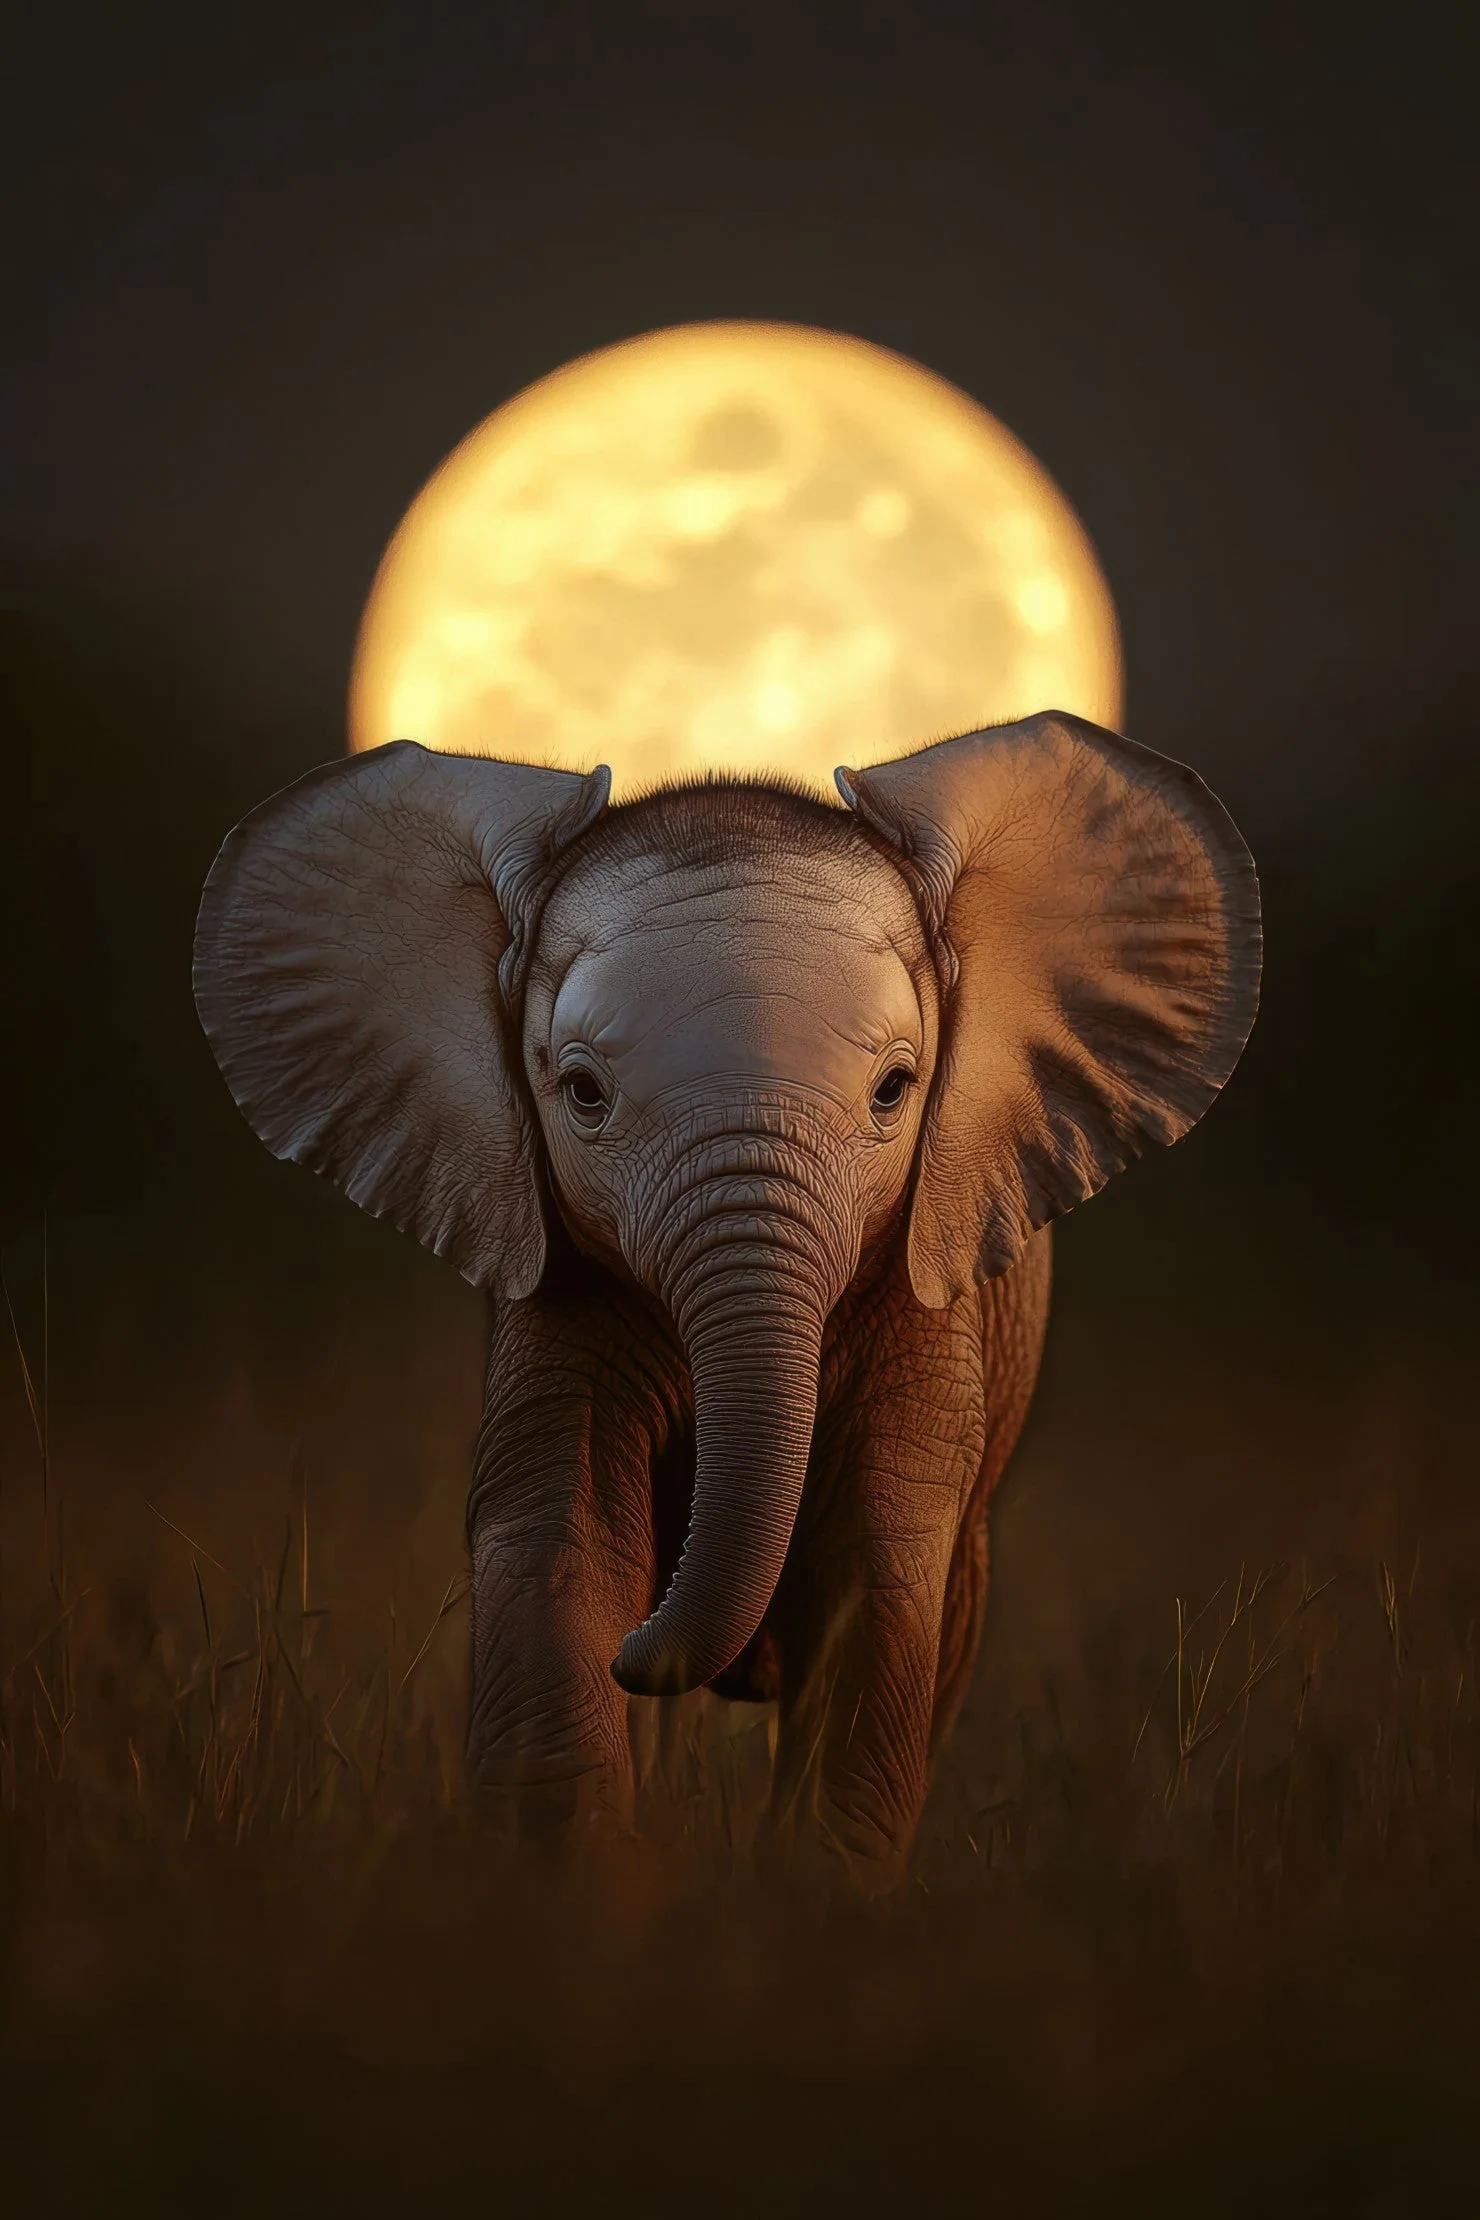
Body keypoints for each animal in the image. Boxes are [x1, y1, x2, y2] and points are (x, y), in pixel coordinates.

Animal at [193, 711, 1260, 1882]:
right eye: (582, 1093)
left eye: (895, 1090)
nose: (644, 1649)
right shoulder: (561, 1292)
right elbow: (562, 1542)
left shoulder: (926, 1297)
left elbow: (879, 1570)